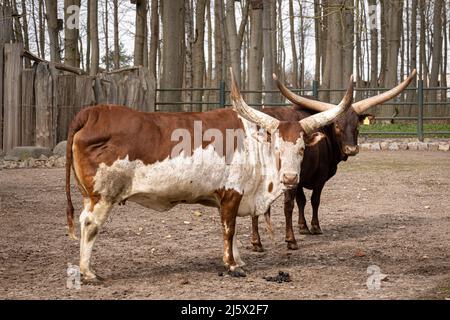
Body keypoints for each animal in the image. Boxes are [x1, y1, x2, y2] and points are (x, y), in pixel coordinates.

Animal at [66, 68, 356, 280]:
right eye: (276, 146)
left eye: (302, 148)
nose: (290, 179)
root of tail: (92, 112)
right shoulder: (231, 193)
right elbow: (229, 229)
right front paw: (232, 265)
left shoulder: (232, 197)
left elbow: (234, 231)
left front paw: (238, 259)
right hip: (102, 196)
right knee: (89, 224)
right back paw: (88, 272)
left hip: (90, 195)